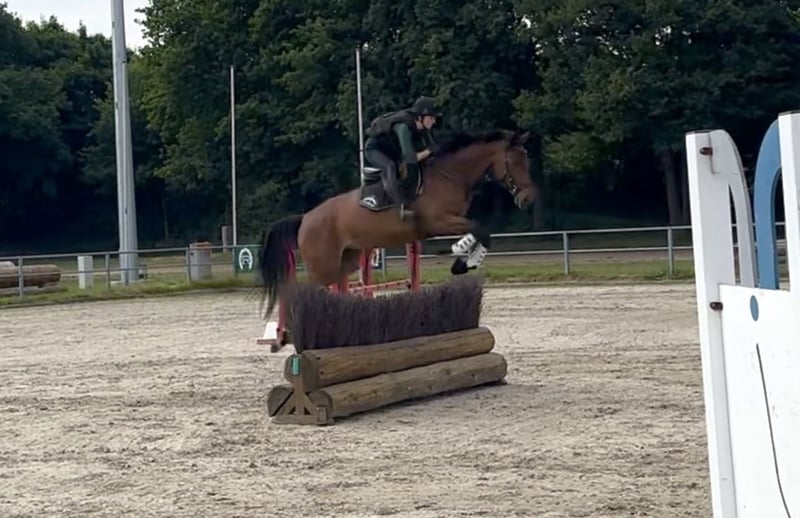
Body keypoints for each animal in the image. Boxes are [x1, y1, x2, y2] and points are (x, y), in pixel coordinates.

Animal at [257, 128, 538, 319]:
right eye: (517, 161)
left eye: (527, 159)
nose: (528, 197)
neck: (449, 175)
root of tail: (305, 218)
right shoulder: (440, 222)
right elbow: (480, 230)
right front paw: (462, 258)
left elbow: (481, 233)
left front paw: (464, 261)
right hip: (322, 265)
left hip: (345, 260)